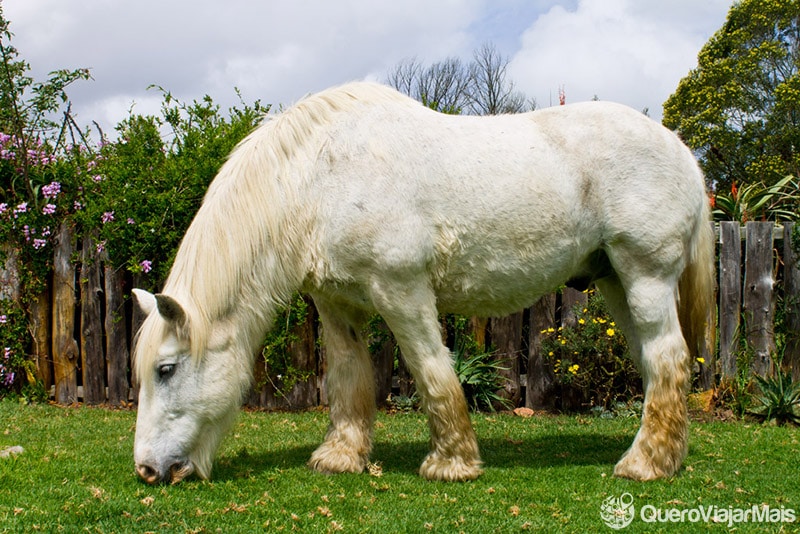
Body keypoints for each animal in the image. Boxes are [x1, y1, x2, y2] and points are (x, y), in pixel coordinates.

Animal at [130, 81, 712, 488]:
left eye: (165, 370)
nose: (147, 471)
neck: (320, 176)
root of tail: (681, 152)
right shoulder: (337, 304)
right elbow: (348, 378)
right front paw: (341, 456)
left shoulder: (401, 291)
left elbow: (431, 369)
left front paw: (451, 463)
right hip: (615, 282)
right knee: (656, 365)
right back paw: (665, 456)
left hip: (644, 276)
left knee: (667, 358)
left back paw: (644, 465)